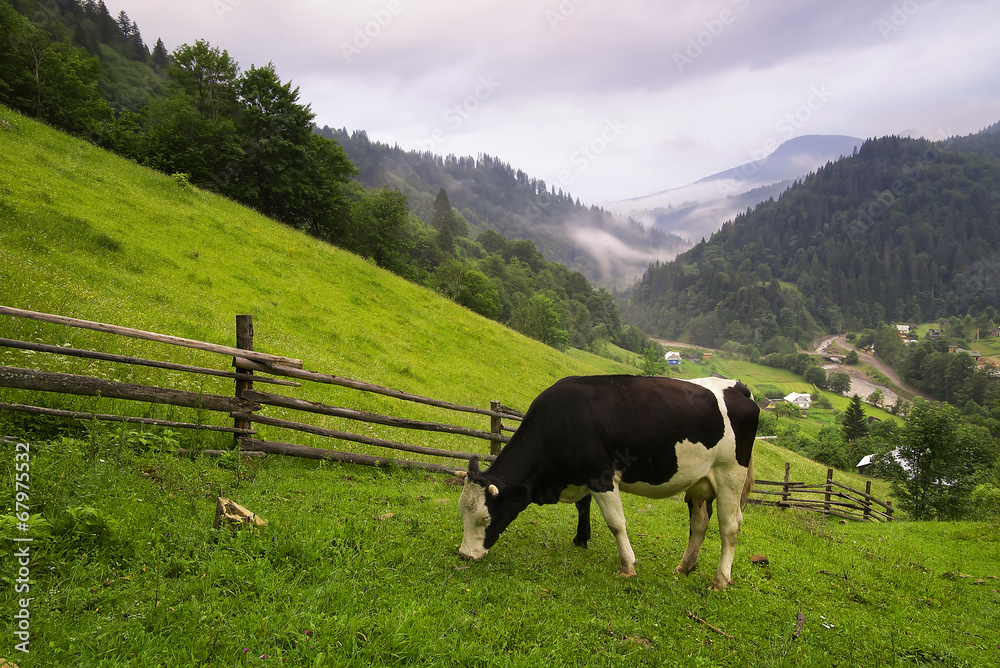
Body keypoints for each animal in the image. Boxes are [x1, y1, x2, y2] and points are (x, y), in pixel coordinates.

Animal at [458, 376, 756, 588]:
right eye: (461, 513)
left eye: (486, 518)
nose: (464, 554)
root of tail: (738, 387)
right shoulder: (582, 476)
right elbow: (583, 506)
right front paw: (581, 539)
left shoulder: (600, 475)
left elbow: (615, 523)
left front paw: (627, 566)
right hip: (700, 482)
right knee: (699, 524)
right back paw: (685, 567)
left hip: (730, 475)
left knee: (730, 527)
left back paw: (720, 581)